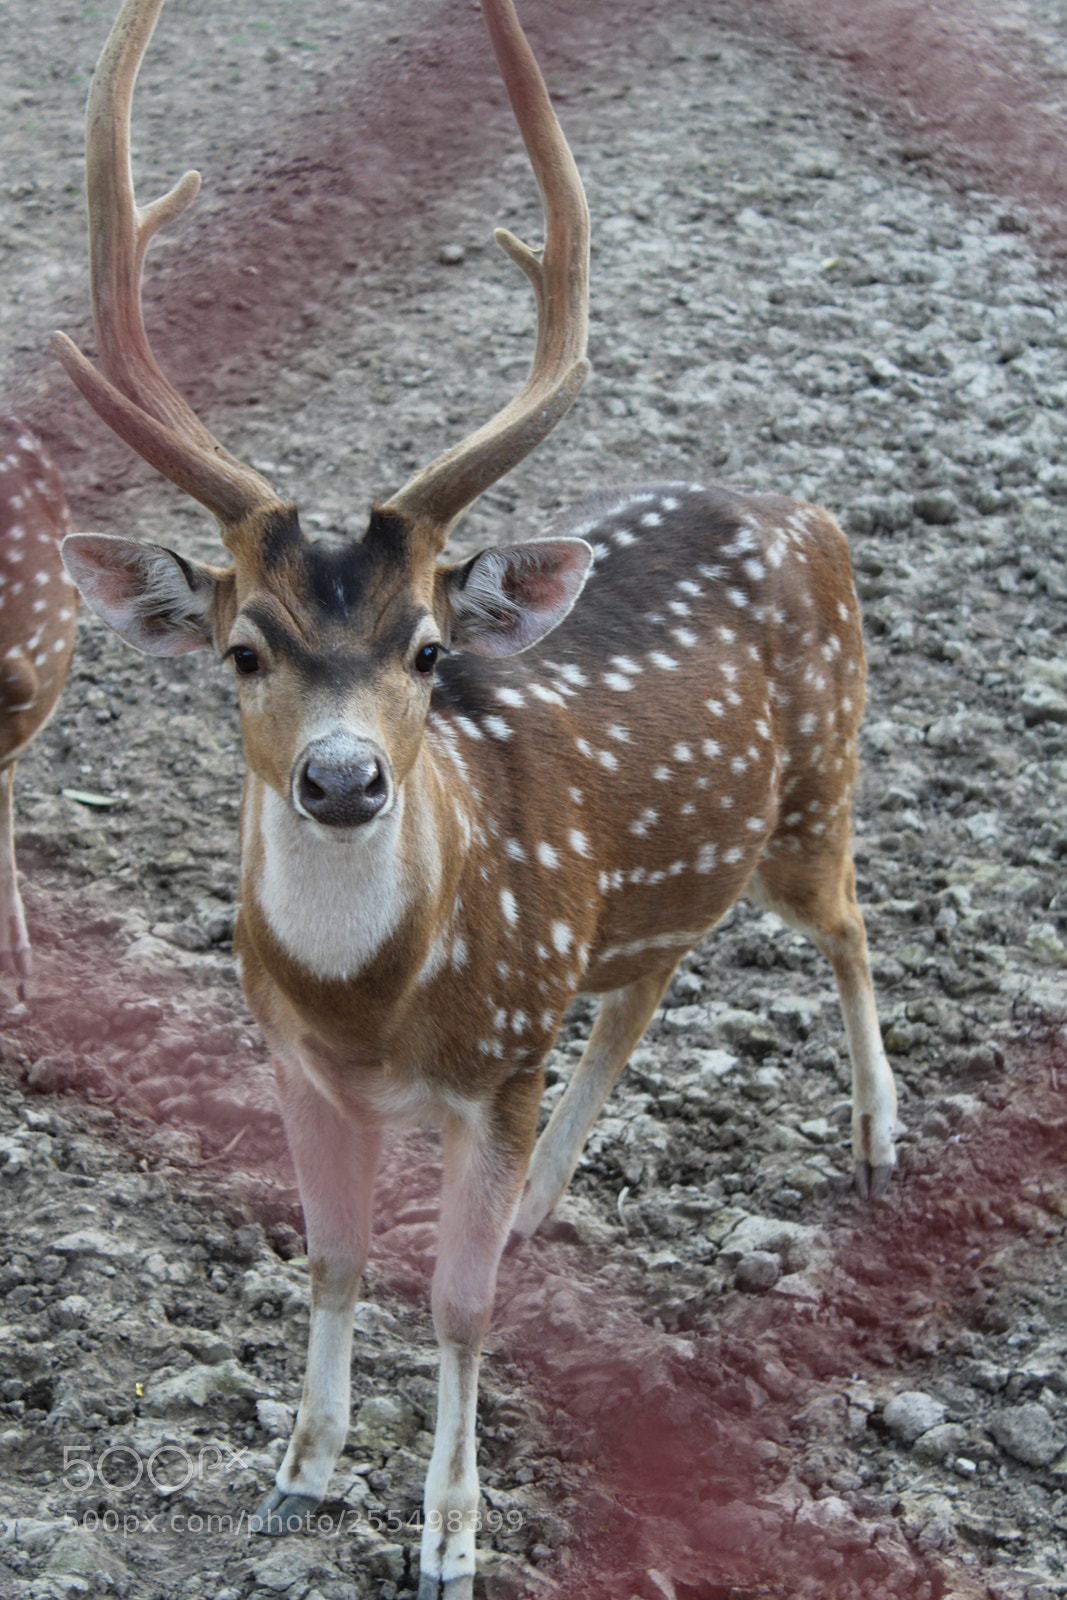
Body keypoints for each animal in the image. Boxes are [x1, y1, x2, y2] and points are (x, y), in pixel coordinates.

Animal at [54, 0, 899, 1594]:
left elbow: (451, 1302)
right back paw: (550, 1205)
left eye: (428, 648)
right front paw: (299, 1472)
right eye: (243, 648)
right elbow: (330, 1256)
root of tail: (803, 508)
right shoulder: (291, 1059)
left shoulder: (498, 1054)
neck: (376, 1002)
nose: (341, 776)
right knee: (648, 982)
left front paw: (447, 1534)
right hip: (654, 882)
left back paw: (880, 1142)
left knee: (844, 921)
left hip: (819, 779)